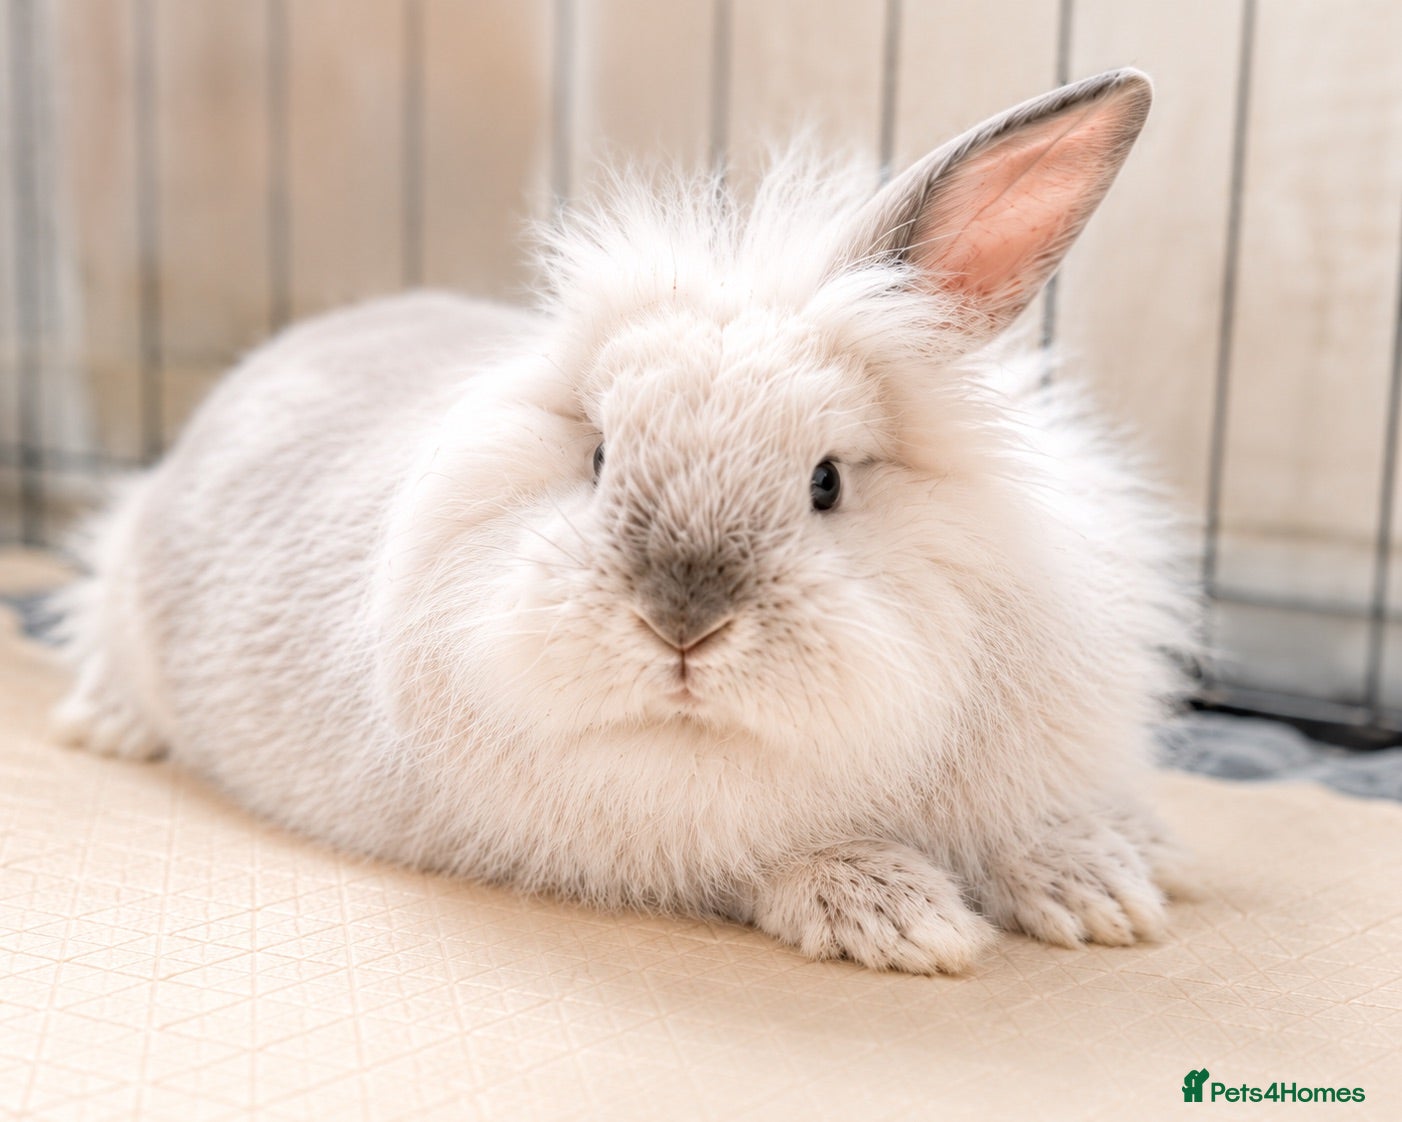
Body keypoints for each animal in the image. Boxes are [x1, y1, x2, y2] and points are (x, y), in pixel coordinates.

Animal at [53, 68, 1195, 974]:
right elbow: (776, 857)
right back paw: (105, 727)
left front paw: (1110, 884)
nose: (682, 625)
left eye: (826, 481)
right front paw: (900, 913)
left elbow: (1035, 821)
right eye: (600, 458)